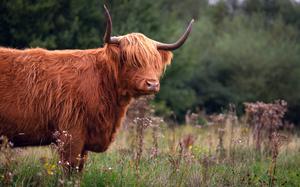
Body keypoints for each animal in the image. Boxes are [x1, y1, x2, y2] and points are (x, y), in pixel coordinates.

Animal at [0, 5, 192, 170]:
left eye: (155, 62)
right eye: (131, 60)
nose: (152, 84)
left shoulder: (84, 141)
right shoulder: (71, 135)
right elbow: (69, 170)